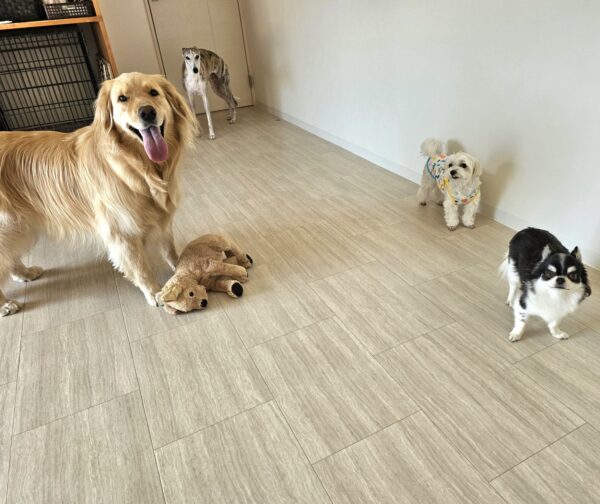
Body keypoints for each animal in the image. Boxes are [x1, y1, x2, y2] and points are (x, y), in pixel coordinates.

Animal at [0, 72, 196, 316]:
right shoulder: (121, 232)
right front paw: (154, 293)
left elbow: (170, 250)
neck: (136, 169)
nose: (147, 112)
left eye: (153, 92)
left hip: (18, 227)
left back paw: (25, 273)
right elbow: (140, 268)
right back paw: (6, 304)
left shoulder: (161, 217)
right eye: (122, 98)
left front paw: (183, 267)